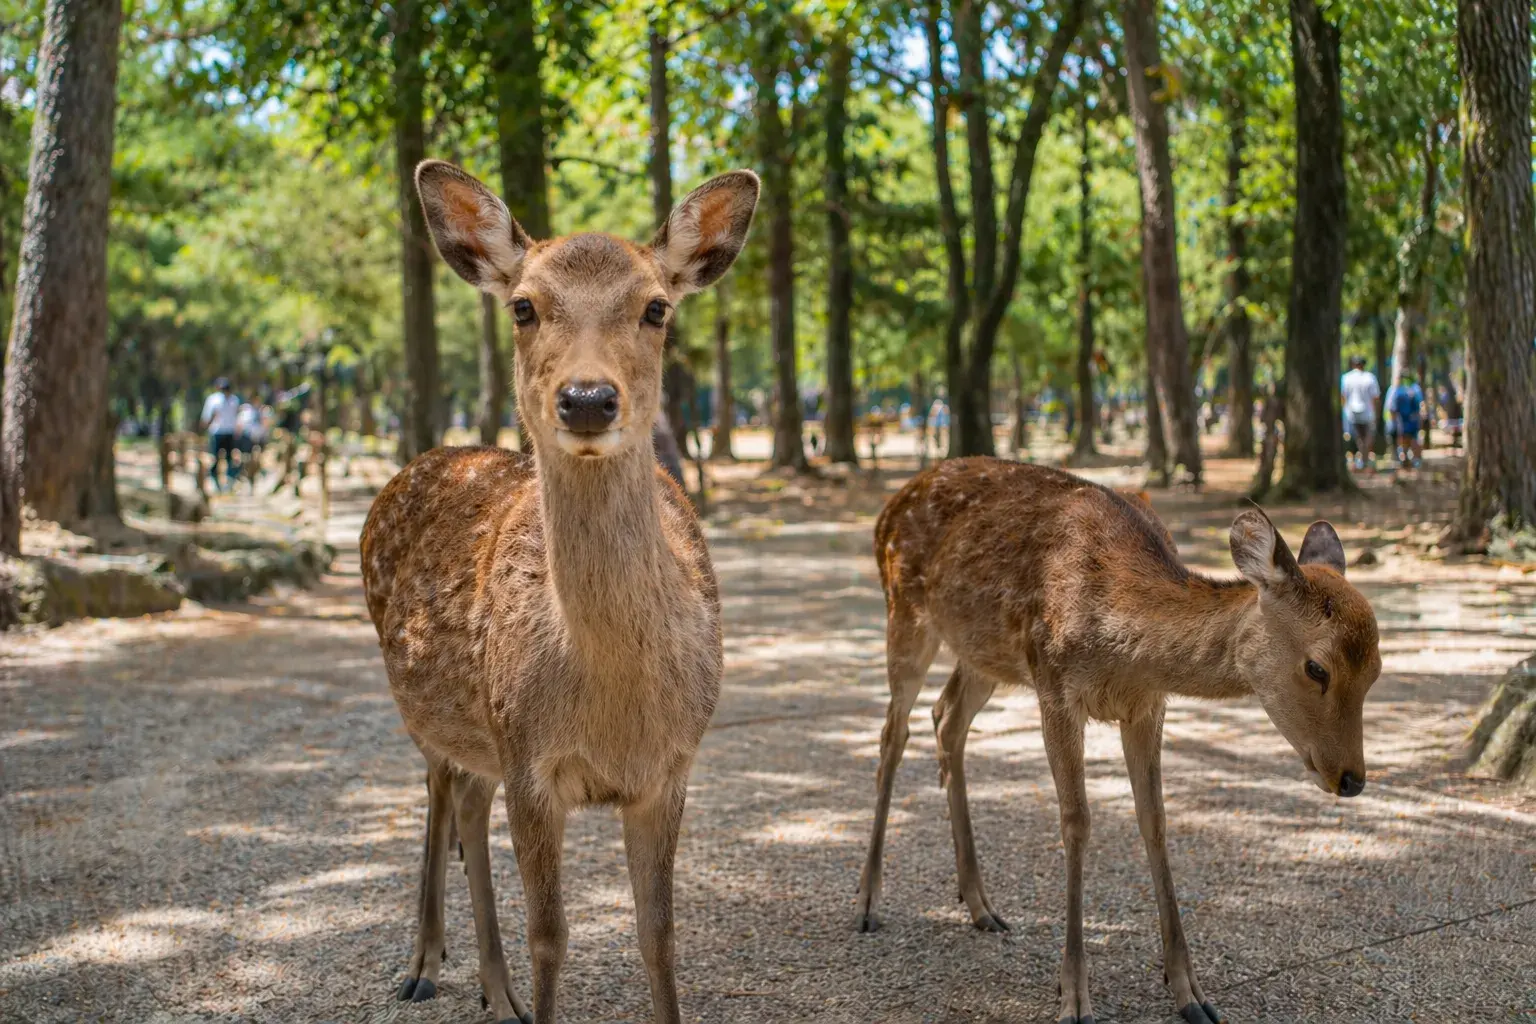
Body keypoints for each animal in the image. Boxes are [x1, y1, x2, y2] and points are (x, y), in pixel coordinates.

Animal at [359, 159, 759, 1024]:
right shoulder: (530, 760)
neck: (611, 703)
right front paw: (523, 985)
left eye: (656, 306)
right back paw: (422, 964)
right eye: (523, 306)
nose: (586, 399)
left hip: (481, 733)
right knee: (440, 791)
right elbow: (552, 938)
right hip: (433, 713)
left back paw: (492, 987)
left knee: (466, 803)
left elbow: (659, 937)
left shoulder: (671, 768)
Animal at [855, 458, 1381, 1024]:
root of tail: (887, 509)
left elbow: (1155, 820)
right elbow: (1077, 822)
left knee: (946, 718)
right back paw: (867, 902)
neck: (1122, 643)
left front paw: (1190, 992)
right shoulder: (1054, 684)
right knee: (893, 733)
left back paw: (981, 906)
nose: (1351, 779)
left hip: (983, 653)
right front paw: (1074, 997)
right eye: (1316, 667)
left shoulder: (1147, 705)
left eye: (1376, 670)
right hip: (905, 614)